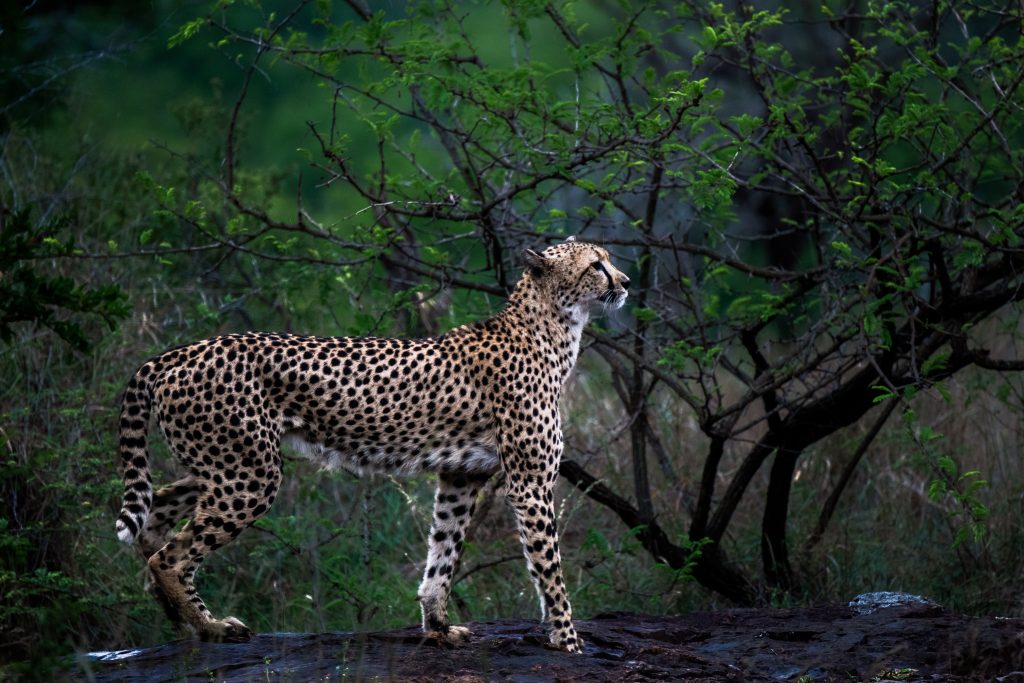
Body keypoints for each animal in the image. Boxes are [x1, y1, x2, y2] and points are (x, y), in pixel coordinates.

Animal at [117, 239, 630, 651]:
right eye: (596, 264)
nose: (625, 282)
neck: (552, 326)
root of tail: (180, 351)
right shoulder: (529, 485)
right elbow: (549, 567)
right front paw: (567, 639)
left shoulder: (462, 476)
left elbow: (443, 553)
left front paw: (437, 627)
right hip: (249, 474)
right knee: (171, 556)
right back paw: (211, 627)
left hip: (224, 465)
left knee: (156, 511)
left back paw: (179, 618)